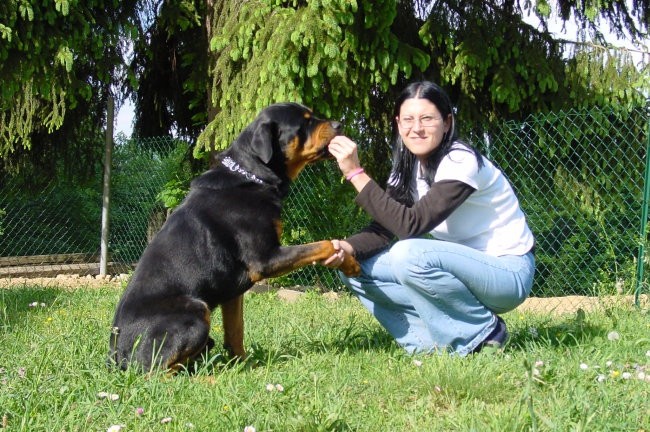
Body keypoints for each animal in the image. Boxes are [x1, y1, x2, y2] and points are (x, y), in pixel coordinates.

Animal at [107, 104, 360, 372]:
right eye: (305, 122)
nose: (339, 124)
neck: (251, 176)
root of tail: (116, 355)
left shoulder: (233, 289)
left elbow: (236, 330)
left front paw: (243, 364)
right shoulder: (265, 259)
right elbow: (323, 244)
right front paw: (350, 263)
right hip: (196, 309)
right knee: (155, 370)